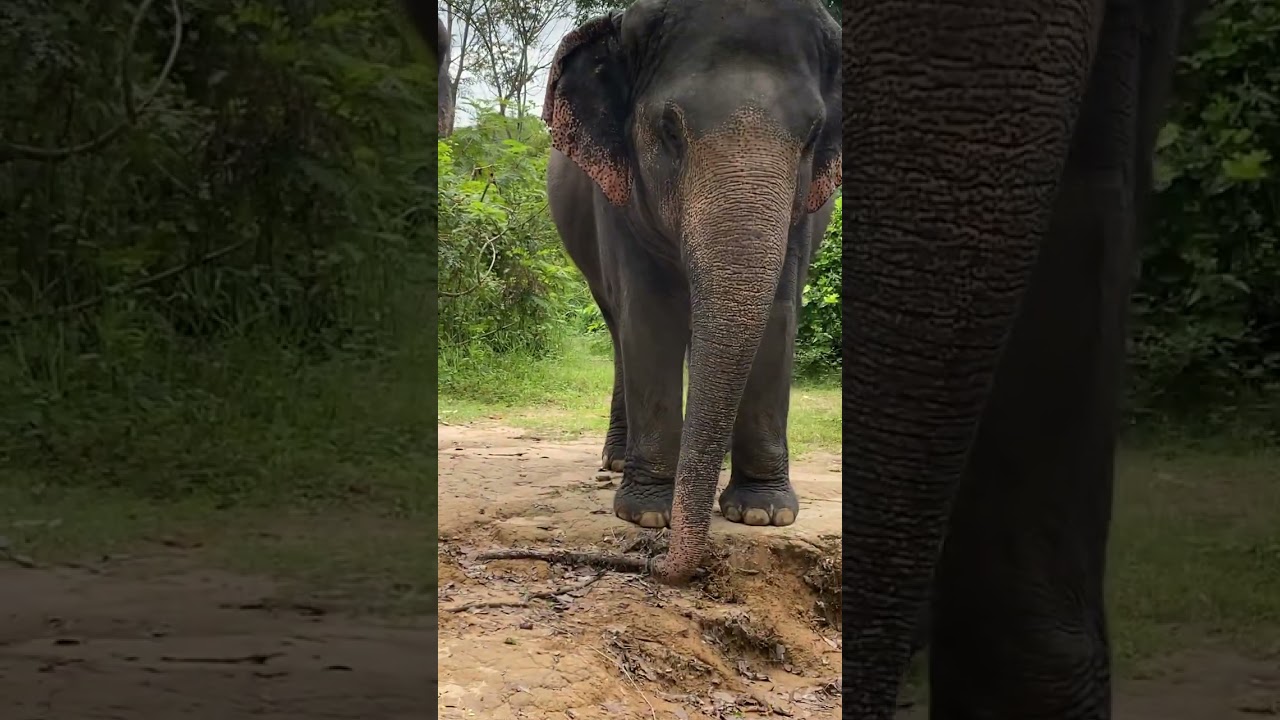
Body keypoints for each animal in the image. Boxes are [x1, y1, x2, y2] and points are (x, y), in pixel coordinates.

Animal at [542, 0, 841, 582]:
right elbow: (649, 315)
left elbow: (778, 315)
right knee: (617, 329)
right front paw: (648, 514)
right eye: (670, 129)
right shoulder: (616, 196)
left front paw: (763, 513)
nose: (668, 566)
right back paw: (619, 460)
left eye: (813, 134)